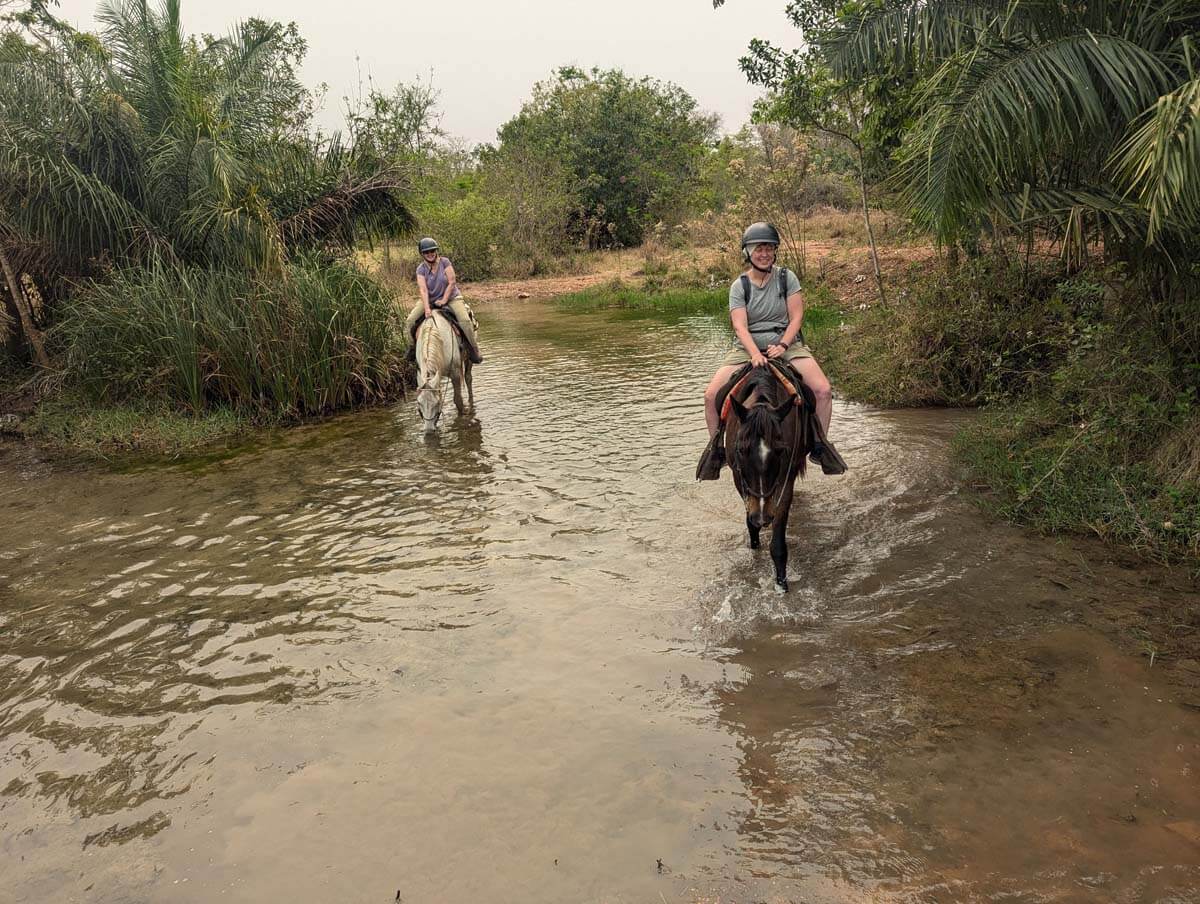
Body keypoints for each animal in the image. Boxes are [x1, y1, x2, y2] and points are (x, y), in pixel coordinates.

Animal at [720, 362, 816, 593]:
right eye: (740, 450)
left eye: (781, 450)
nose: (763, 517)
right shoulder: (740, 480)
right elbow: (751, 525)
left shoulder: (785, 482)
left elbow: (778, 544)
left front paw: (781, 585)